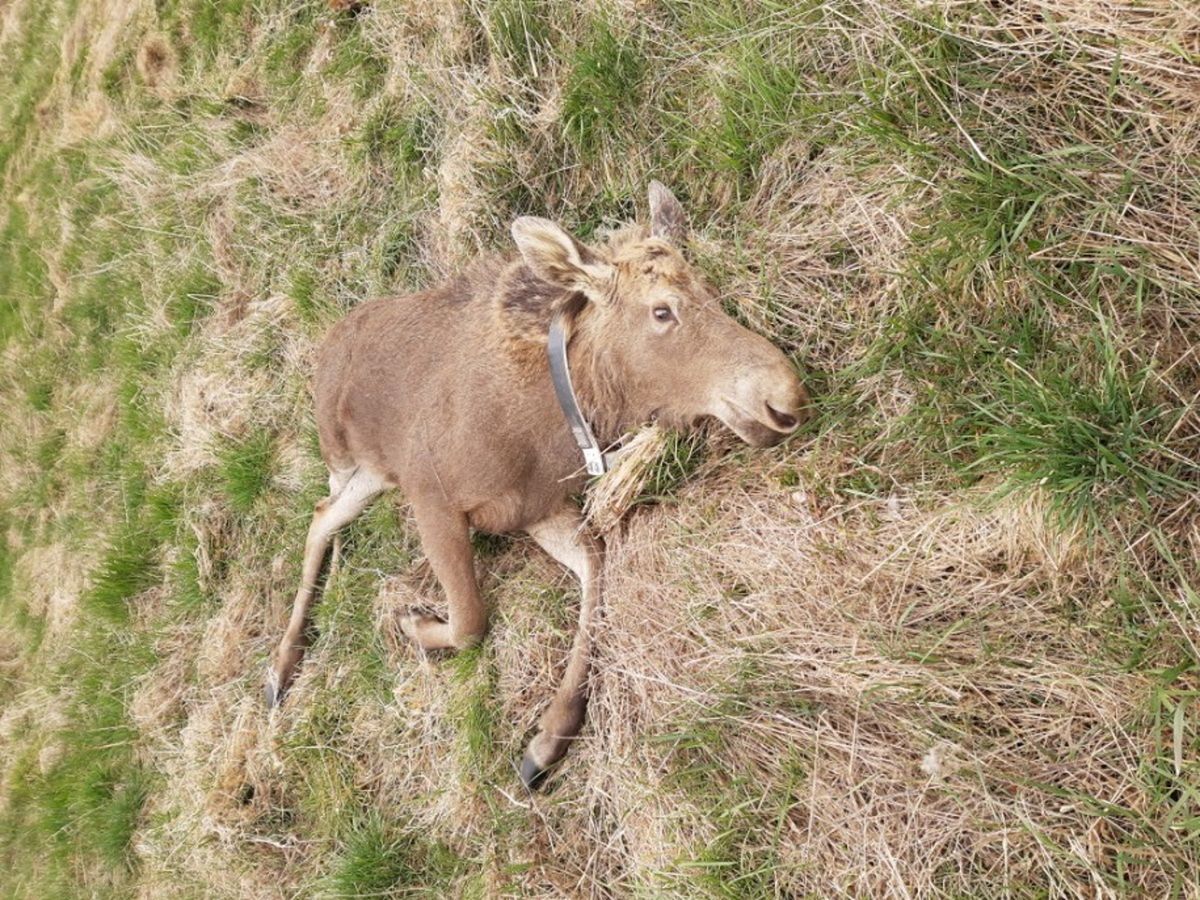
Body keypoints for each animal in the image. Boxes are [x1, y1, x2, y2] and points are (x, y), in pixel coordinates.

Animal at [267, 184, 811, 787]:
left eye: (714, 294)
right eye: (662, 310)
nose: (785, 398)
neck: (549, 429)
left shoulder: (536, 509)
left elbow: (596, 570)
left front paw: (549, 738)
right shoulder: (432, 495)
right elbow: (471, 621)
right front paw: (413, 621)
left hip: (371, 476)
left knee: (321, 513)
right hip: (349, 458)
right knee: (322, 513)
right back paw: (281, 667)